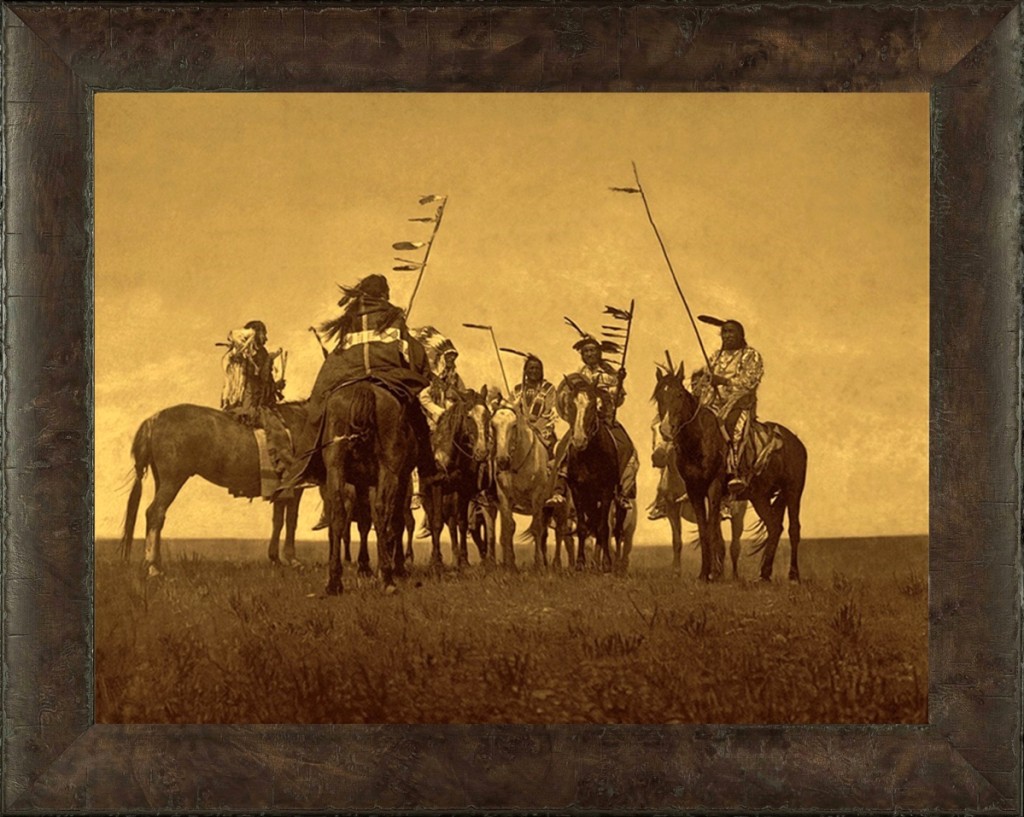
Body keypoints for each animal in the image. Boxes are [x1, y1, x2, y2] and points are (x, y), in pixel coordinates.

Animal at [120, 401, 307, 577]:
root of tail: (154, 419)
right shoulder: (295, 488)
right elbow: (291, 521)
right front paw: (292, 560)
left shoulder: (282, 490)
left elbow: (278, 521)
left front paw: (276, 559)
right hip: (173, 480)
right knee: (155, 512)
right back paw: (153, 568)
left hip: (161, 480)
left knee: (159, 516)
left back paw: (157, 564)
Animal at [319, 384, 415, 593]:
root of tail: (364, 388)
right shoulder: (400, 477)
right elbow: (394, 523)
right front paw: (396, 567)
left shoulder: (361, 483)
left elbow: (363, 523)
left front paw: (364, 566)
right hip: (389, 471)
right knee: (382, 514)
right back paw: (387, 577)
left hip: (335, 468)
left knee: (339, 516)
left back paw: (334, 581)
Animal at [419, 389, 491, 569]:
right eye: (468, 416)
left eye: (487, 415)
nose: (482, 452)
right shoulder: (437, 485)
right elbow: (436, 522)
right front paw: (436, 561)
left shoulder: (463, 490)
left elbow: (462, 523)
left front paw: (464, 561)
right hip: (428, 497)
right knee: (434, 518)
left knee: (452, 524)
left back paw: (456, 558)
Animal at [651, 438, 749, 577]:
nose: (656, 457)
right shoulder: (672, 508)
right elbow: (677, 541)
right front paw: (676, 572)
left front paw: (711, 572)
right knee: (721, 544)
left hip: (738, 516)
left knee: (734, 546)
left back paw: (732, 575)